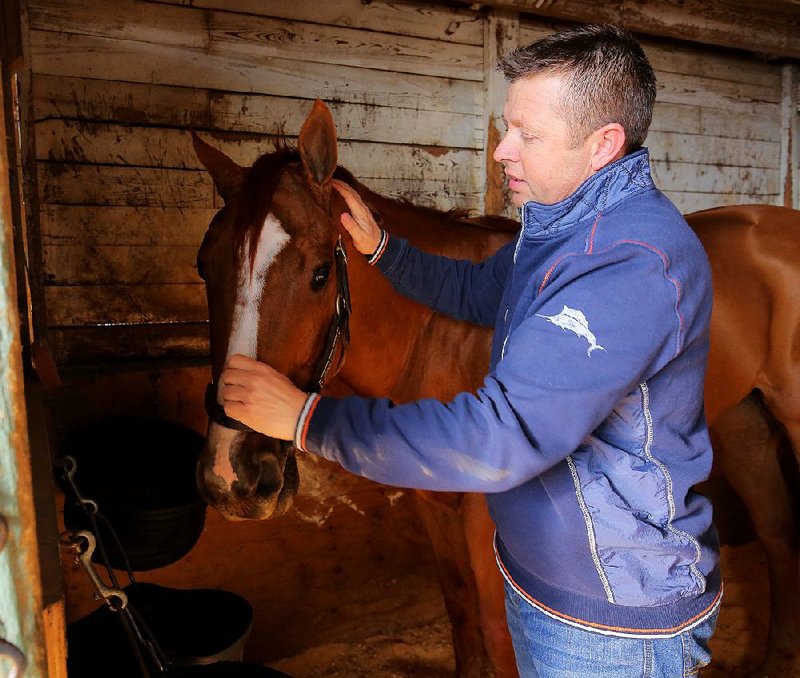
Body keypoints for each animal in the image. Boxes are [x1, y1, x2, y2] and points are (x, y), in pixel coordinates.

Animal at [194, 102, 800, 678]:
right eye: (205, 266)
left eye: (320, 273)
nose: (233, 477)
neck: (436, 337)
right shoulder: (435, 507)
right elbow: (462, 609)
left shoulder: (487, 523)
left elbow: (496, 629)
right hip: (743, 421)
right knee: (775, 530)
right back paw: (772, 661)